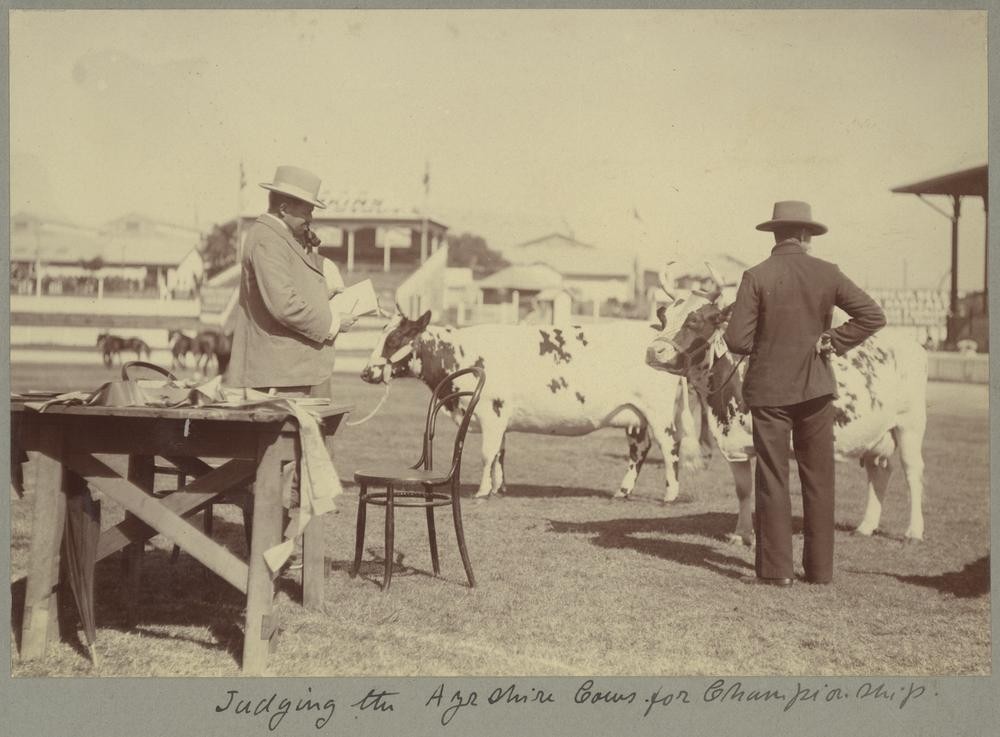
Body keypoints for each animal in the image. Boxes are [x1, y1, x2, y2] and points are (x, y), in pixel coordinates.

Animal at [362, 310, 704, 500]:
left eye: (393, 340)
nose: (366, 372)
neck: (459, 354)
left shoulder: (491, 411)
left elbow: (487, 452)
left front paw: (483, 491)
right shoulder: (499, 419)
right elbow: (499, 453)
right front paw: (499, 488)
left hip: (658, 412)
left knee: (669, 447)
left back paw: (669, 494)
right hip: (635, 417)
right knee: (639, 451)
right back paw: (622, 492)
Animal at [648, 282, 928, 548]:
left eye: (694, 321)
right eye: (664, 318)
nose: (653, 352)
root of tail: (909, 342)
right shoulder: (735, 446)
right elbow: (743, 490)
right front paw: (742, 534)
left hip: (910, 424)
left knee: (912, 473)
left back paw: (913, 532)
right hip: (876, 431)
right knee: (879, 471)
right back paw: (866, 527)